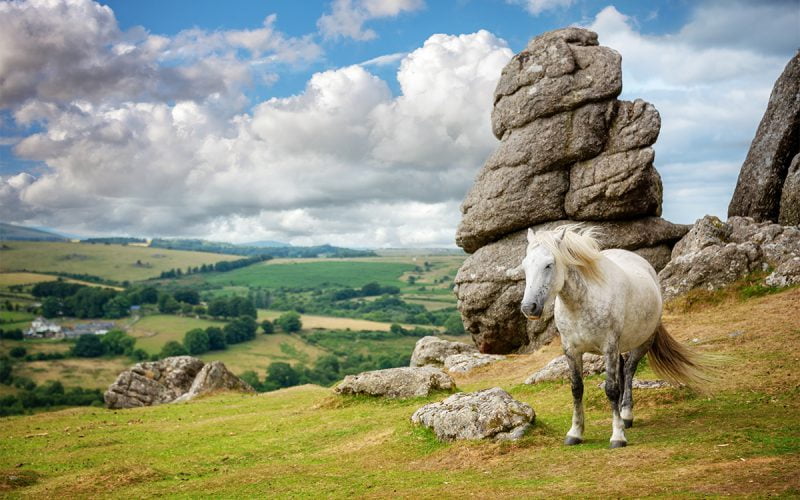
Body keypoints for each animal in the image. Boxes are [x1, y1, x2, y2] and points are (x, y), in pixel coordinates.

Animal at [520, 225, 708, 448]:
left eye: (549, 265)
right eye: (525, 266)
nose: (528, 307)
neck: (583, 302)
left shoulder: (609, 346)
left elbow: (611, 388)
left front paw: (618, 436)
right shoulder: (571, 350)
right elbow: (577, 388)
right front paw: (575, 433)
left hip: (642, 342)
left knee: (628, 371)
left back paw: (625, 415)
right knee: (621, 371)